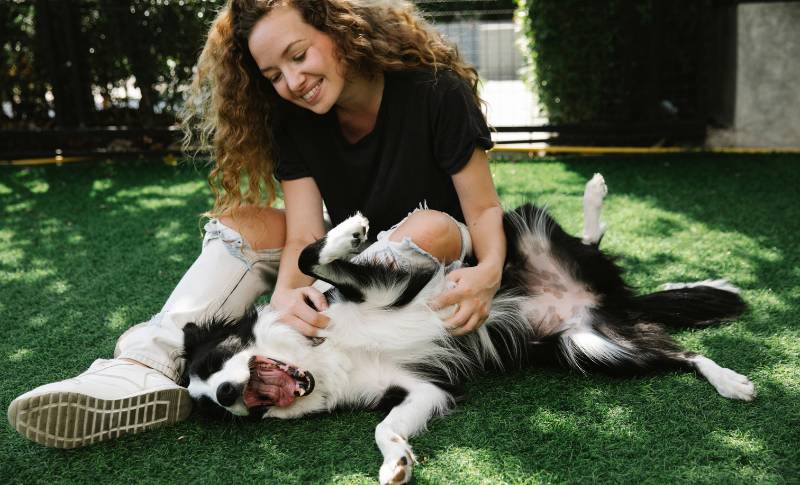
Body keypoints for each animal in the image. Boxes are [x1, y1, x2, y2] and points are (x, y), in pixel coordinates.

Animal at [183, 175, 756, 484]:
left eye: (215, 361)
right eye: (215, 408)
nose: (229, 394)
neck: (323, 356)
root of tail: (610, 298)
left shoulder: (382, 287)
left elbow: (309, 257)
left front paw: (349, 230)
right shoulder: (420, 388)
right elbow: (384, 427)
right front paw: (396, 463)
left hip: (520, 228)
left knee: (589, 246)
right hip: (591, 344)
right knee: (675, 353)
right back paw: (730, 380)